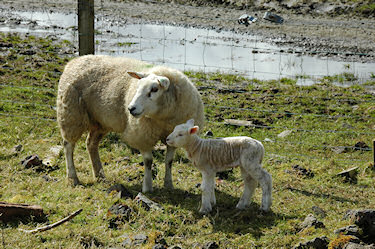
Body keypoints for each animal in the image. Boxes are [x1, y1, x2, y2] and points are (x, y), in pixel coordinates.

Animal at [56, 54, 204, 192]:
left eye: (154, 89)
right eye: (137, 87)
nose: (130, 108)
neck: (162, 117)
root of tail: (76, 60)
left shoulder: (173, 136)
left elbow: (169, 161)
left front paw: (168, 184)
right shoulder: (142, 135)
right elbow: (148, 161)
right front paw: (147, 187)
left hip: (100, 121)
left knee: (91, 144)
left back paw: (100, 175)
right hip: (71, 115)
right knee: (68, 145)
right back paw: (73, 178)